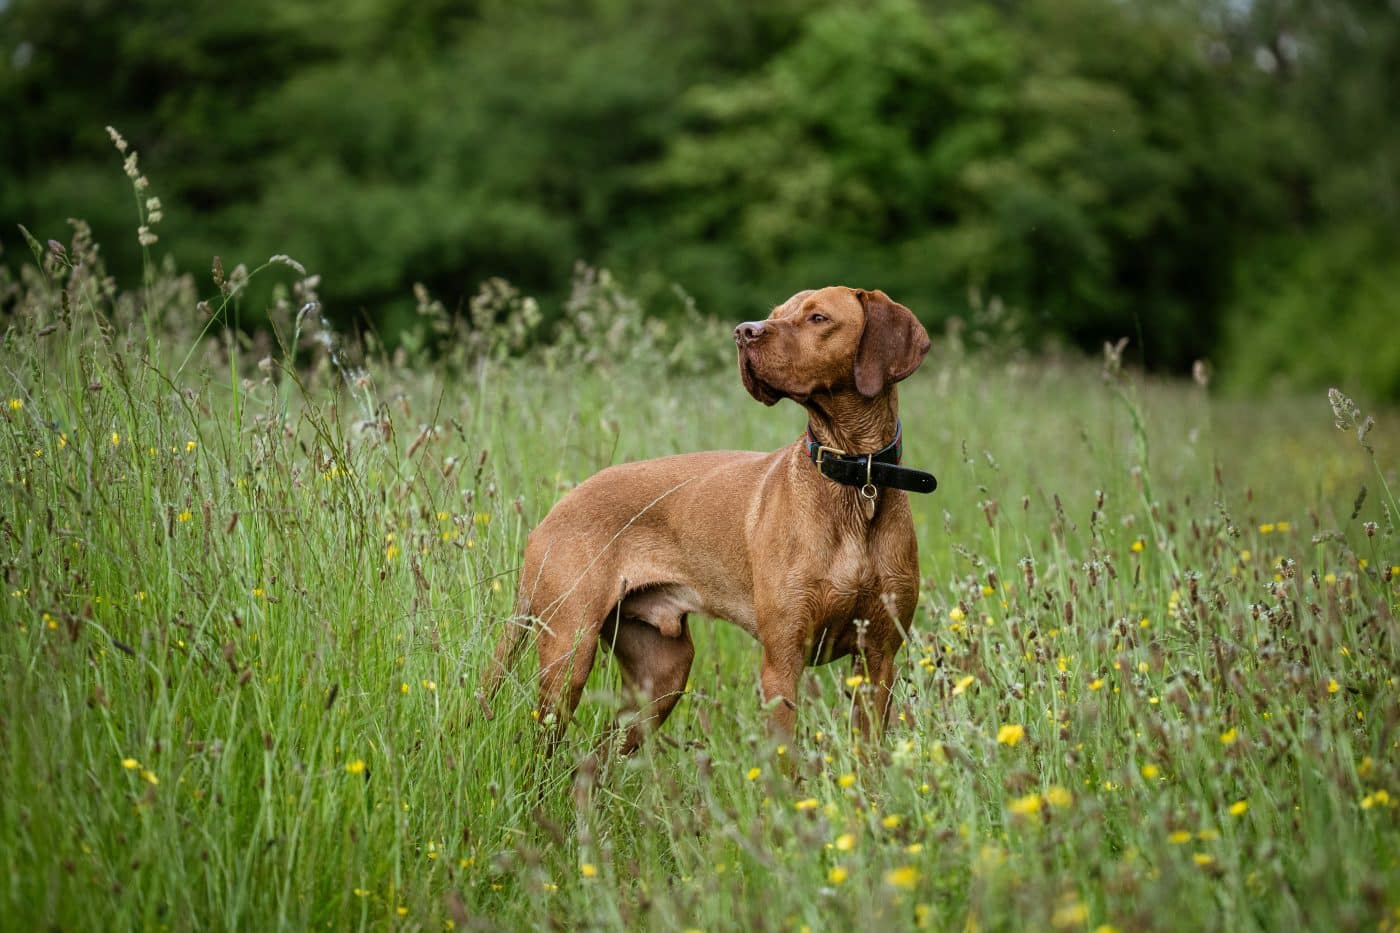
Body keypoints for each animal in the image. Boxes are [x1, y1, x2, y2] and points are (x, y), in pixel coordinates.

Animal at [487, 287, 935, 750]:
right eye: (776, 313)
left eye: (818, 317)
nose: (743, 332)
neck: (856, 478)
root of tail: (554, 511)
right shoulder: (782, 659)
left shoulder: (878, 658)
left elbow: (869, 756)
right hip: (568, 654)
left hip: (661, 675)